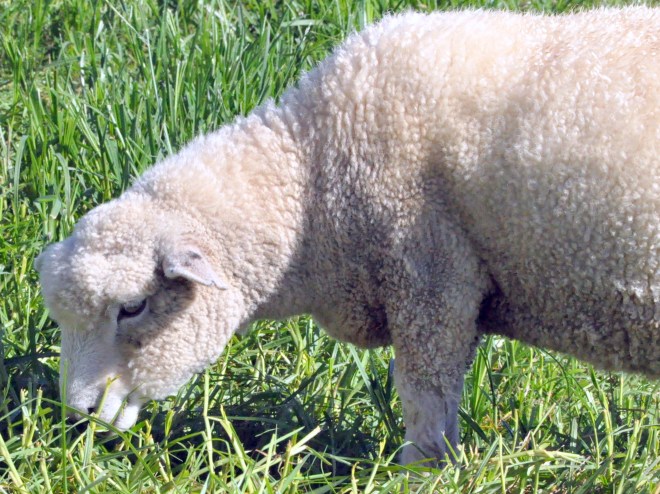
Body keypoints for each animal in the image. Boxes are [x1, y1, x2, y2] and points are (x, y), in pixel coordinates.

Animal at [36, 7, 659, 464]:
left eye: (134, 307)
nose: (78, 416)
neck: (311, 178)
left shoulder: (429, 276)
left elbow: (425, 393)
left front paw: (420, 470)